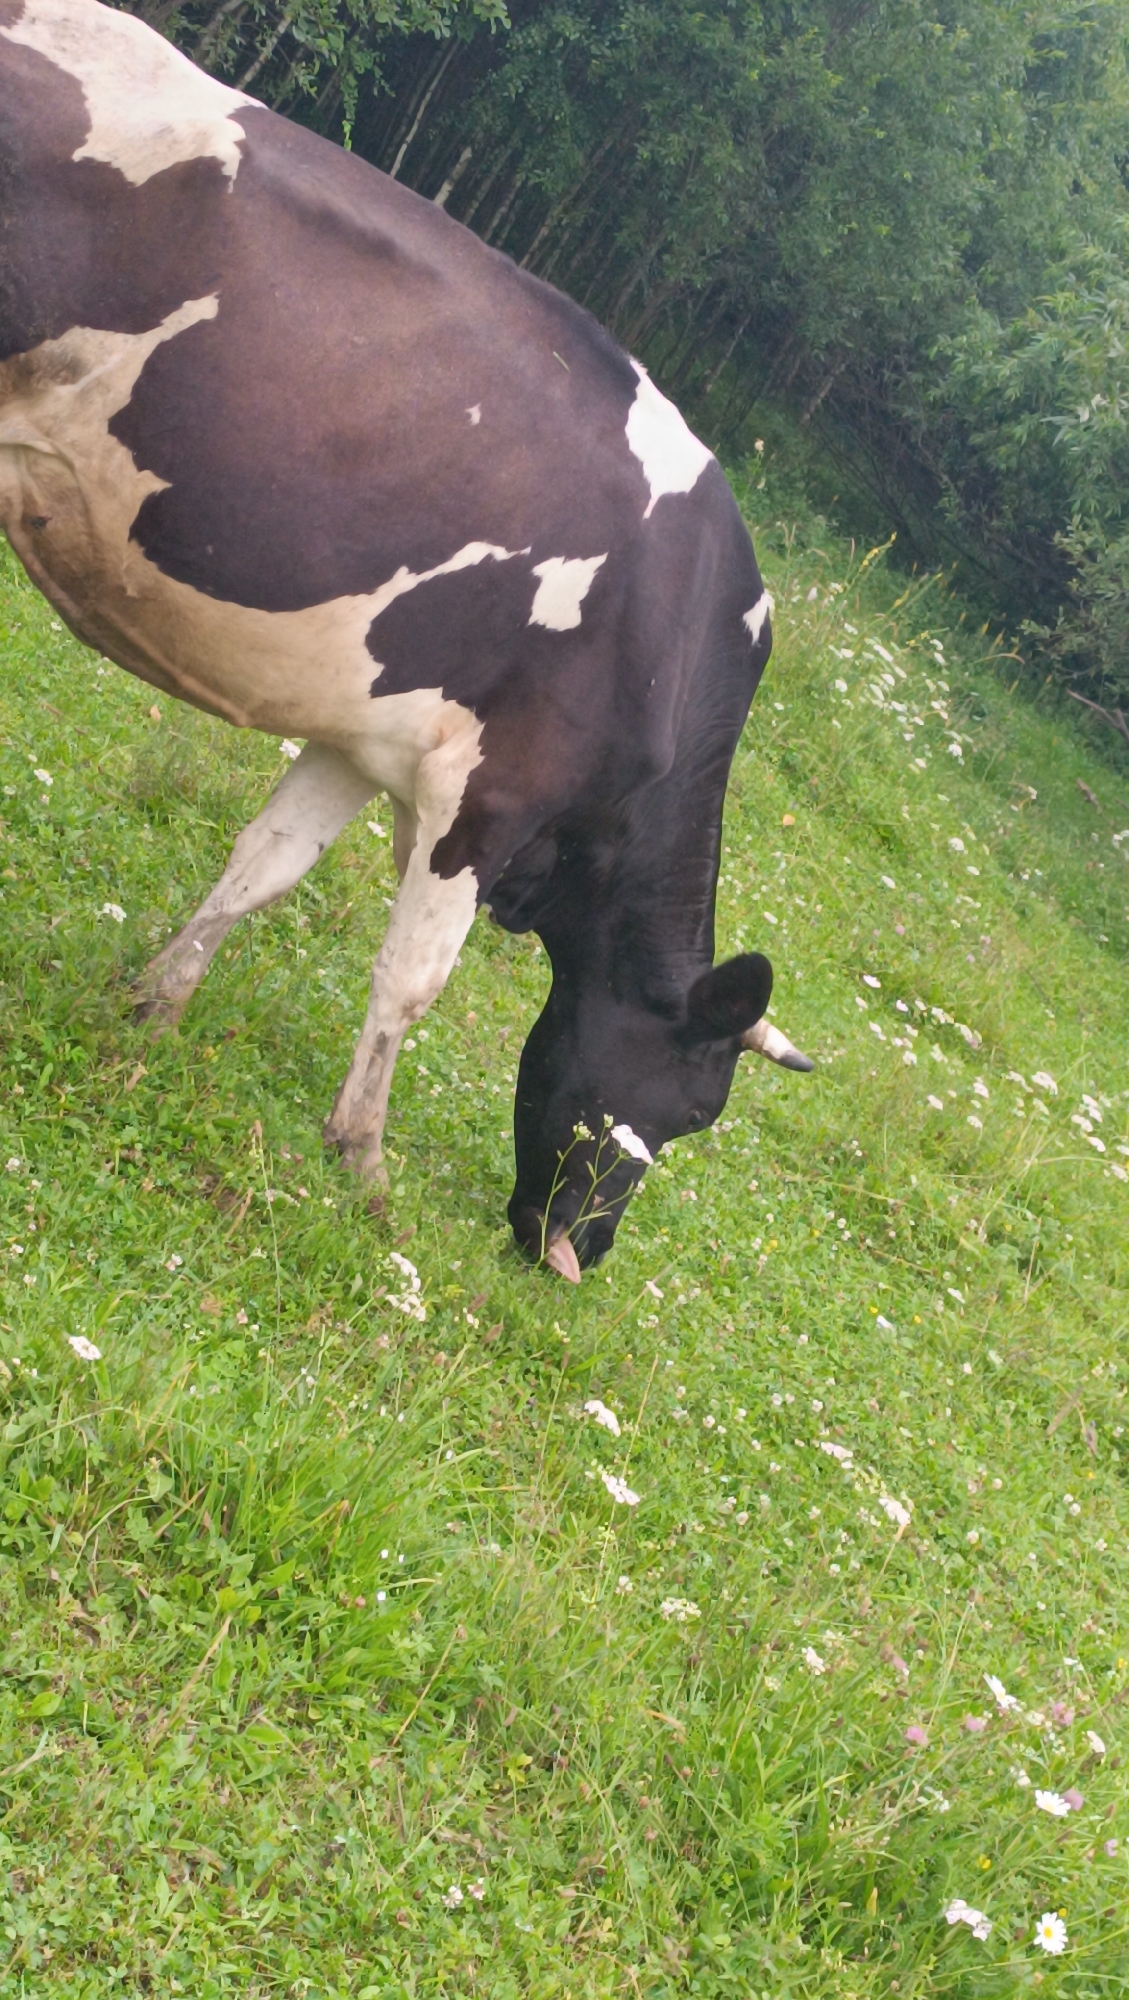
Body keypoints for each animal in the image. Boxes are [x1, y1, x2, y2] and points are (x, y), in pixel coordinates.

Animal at [0, 0, 812, 1279]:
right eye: (694, 1107)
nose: (579, 1251)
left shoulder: (365, 738)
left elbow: (263, 865)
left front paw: (155, 1006)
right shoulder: (486, 795)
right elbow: (412, 978)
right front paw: (361, 1159)